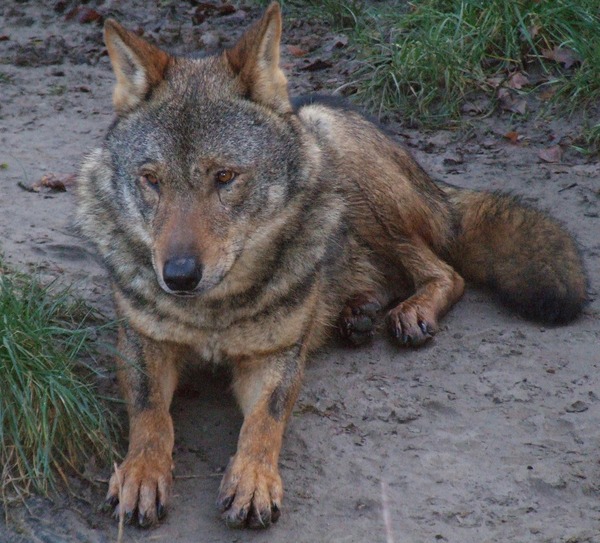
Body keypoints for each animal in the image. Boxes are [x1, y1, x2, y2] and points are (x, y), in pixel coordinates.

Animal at [75, 2, 584, 532]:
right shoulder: (142, 344)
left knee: (445, 270)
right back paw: (357, 312)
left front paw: (253, 481)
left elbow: (263, 422)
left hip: (351, 173)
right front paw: (140, 473)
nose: (177, 277)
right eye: (151, 180)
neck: (215, 311)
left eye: (225, 177)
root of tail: (438, 188)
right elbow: (151, 415)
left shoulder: (276, 358)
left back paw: (408, 312)